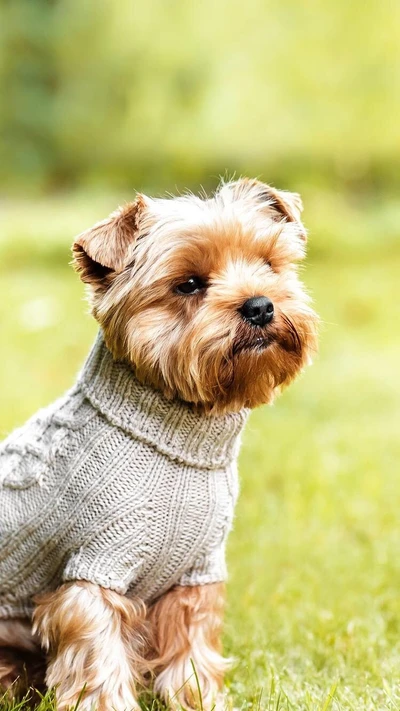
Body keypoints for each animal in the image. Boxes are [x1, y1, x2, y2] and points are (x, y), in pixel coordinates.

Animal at [0, 178, 318, 708]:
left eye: (269, 264)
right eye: (188, 284)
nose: (259, 305)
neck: (180, 439)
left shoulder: (196, 573)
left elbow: (192, 653)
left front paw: (203, 699)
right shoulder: (95, 569)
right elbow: (99, 661)